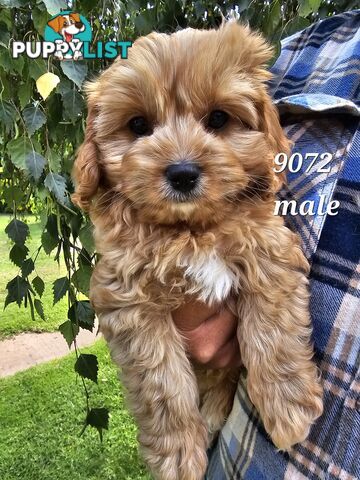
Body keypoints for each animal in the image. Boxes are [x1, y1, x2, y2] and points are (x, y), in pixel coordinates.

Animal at [72, 22, 324, 480]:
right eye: (138, 125)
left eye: (219, 119)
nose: (183, 172)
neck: (191, 230)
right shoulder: (130, 302)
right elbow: (163, 386)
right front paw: (177, 456)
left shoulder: (270, 250)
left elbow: (274, 329)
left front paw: (288, 406)